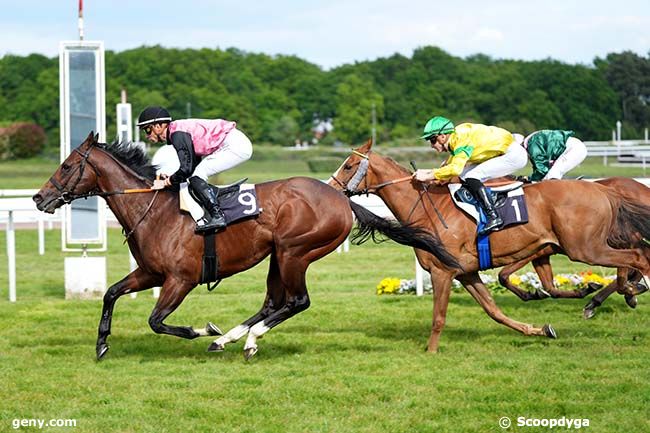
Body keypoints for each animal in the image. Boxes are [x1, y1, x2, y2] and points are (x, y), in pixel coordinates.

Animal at [33, 133, 458, 360]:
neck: (152, 210)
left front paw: (200, 328)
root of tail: (340, 198)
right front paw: (102, 344)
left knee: (297, 301)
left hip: (294, 252)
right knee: (273, 302)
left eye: (67, 166)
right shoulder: (150, 273)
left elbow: (156, 320)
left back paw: (245, 340)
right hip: (277, 256)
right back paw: (229, 339)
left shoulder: (179, 280)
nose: (39, 198)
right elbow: (110, 293)